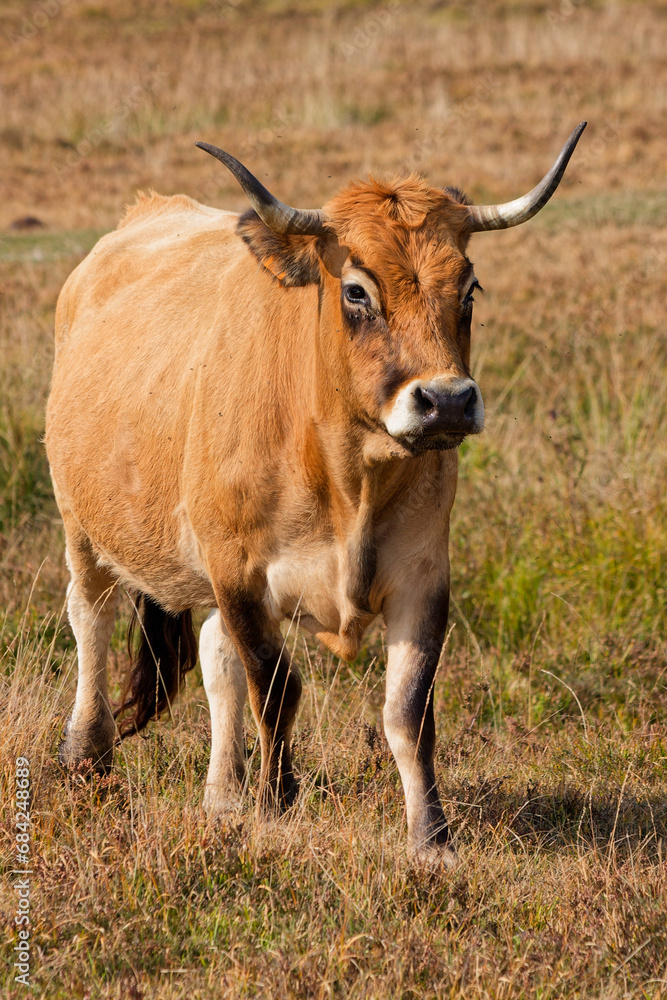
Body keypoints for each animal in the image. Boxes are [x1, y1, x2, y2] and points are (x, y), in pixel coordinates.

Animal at [45, 123, 584, 860]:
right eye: (357, 291)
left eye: (469, 289)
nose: (446, 401)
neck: (347, 477)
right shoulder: (239, 572)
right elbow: (276, 689)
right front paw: (275, 807)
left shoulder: (423, 576)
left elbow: (407, 709)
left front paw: (431, 839)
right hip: (84, 526)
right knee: (91, 618)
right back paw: (87, 756)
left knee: (214, 658)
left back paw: (222, 798)